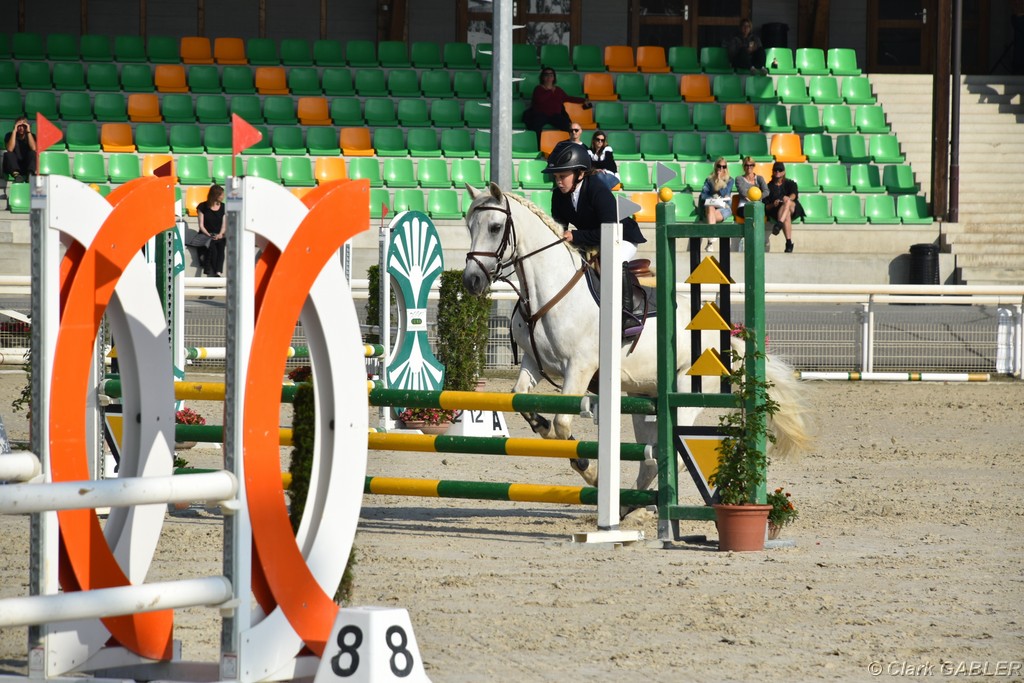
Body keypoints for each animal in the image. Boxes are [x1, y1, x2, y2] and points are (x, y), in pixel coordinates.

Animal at [461, 183, 811, 498]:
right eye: (469, 226)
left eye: (495, 227)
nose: (471, 281)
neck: (547, 291)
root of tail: (728, 340)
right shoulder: (534, 363)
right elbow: (521, 400)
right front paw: (544, 430)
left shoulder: (580, 367)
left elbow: (562, 424)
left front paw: (590, 470)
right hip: (645, 399)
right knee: (650, 458)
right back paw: (634, 506)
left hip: (686, 395)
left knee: (669, 455)